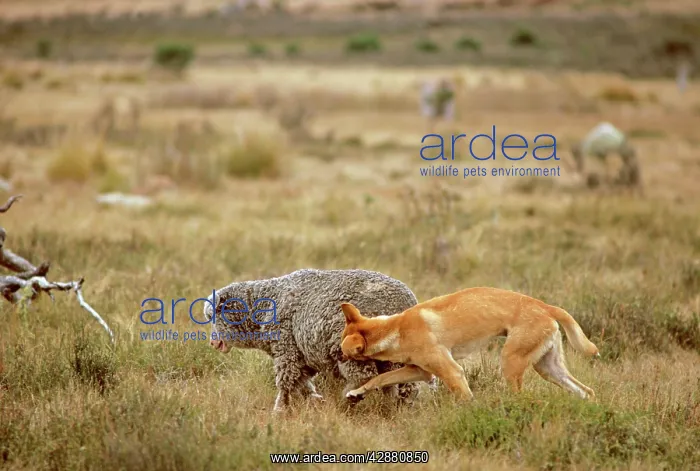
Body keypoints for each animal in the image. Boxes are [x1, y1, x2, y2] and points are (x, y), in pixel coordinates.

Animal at [203, 268, 420, 412]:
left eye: (214, 316)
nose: (213, 343)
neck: (266, 305)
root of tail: (404, 303)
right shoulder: (303, 354)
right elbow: (302, 382)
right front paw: (314, 400)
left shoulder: (287, 349)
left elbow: (287, 383)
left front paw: (280, 410)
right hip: (396, 355)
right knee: (403, 384)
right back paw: (398, 408)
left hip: (351, 348)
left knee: (364, 377)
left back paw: (349, 398)